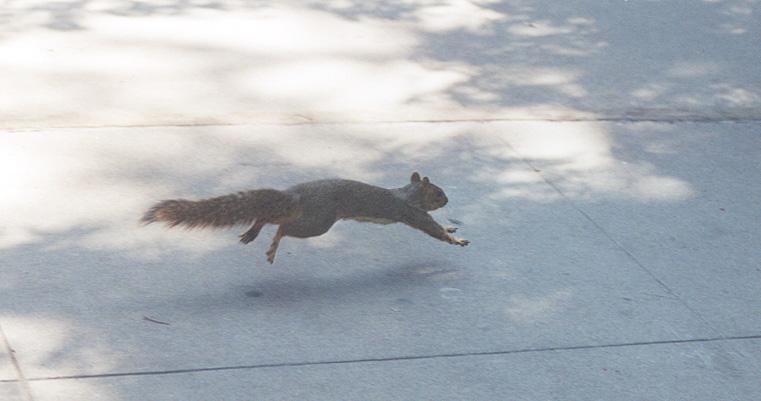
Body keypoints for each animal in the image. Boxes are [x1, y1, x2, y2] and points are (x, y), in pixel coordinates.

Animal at [140, 171, 466, 262]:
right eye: (439, 193)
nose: (449, 199)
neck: (408, 194)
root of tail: (296, 194)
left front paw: (453, 229)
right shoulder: (413, 214)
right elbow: (434, 230)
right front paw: (456, 239)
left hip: (309, 217)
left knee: (269, 217)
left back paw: (253, 233)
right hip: (317, 222)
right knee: (282, 227)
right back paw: (271, 245)